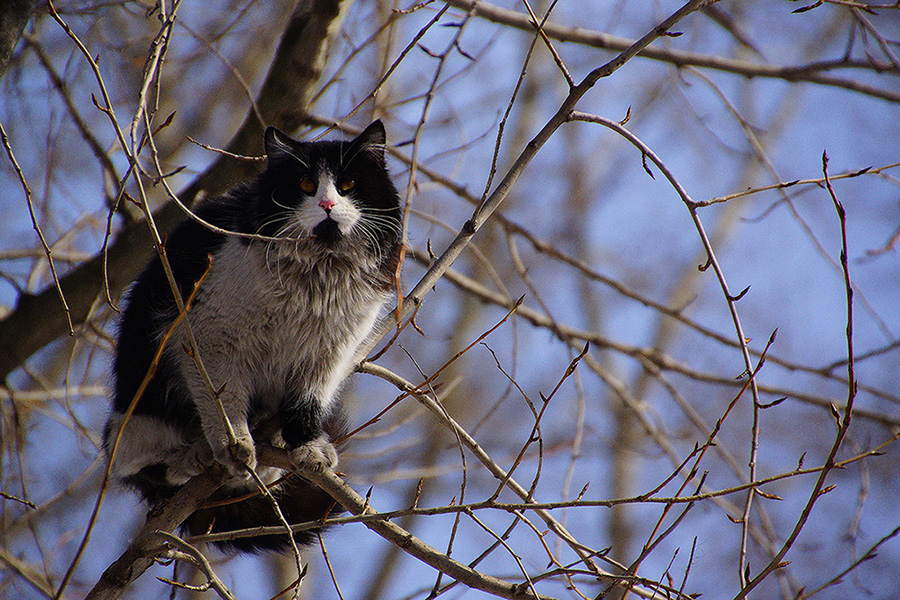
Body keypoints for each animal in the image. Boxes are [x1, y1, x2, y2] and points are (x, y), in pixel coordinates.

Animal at [103, 122, 402, 552]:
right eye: (306, 184)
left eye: (347, 184)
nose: (328, 204)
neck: (317, 279)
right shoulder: (211, 335)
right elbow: (224, 402)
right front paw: (236, 446)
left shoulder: (332, 351)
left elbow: (308, 404)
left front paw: (307, 446)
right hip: (136, 412)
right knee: (137, 463)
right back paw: (199, 457)